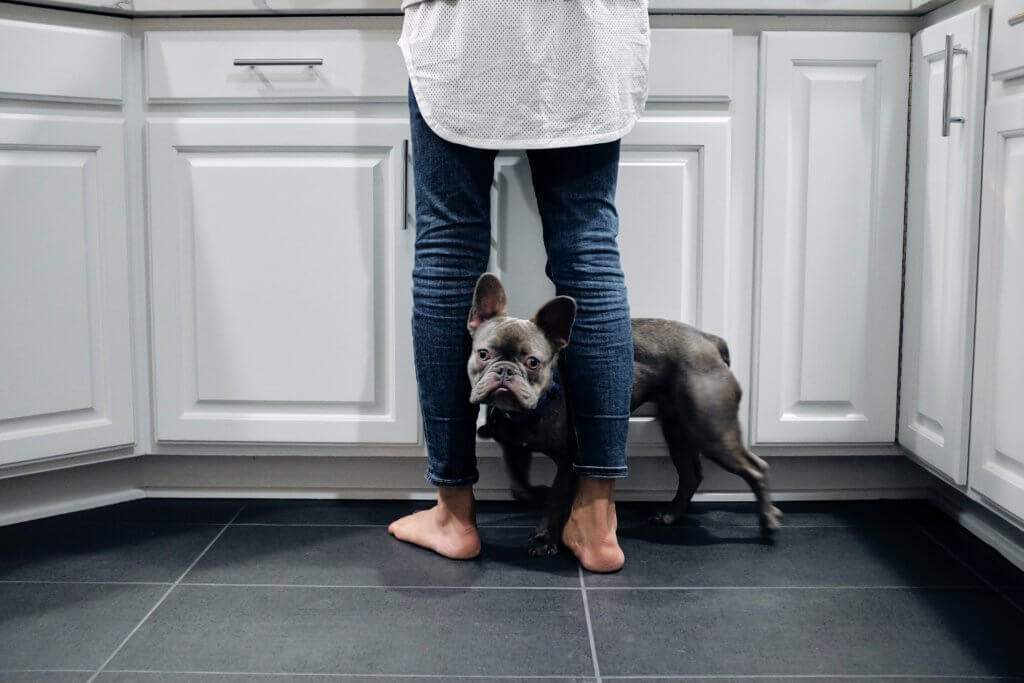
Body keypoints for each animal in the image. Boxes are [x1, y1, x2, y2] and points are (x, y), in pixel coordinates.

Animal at [466, 272, 782, 557]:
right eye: (483, 354)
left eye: (533, 362)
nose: (505, 371)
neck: (532, 409)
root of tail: (709, 340)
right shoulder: (514, 448)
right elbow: (520, 487)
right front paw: (539, 495)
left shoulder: (570, 461)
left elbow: (555, 501)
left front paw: (544, 538)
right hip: (678, 429)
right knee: (691, 474)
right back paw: (671, 514)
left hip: (711, 428)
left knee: (756, 468)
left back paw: (768, 523)